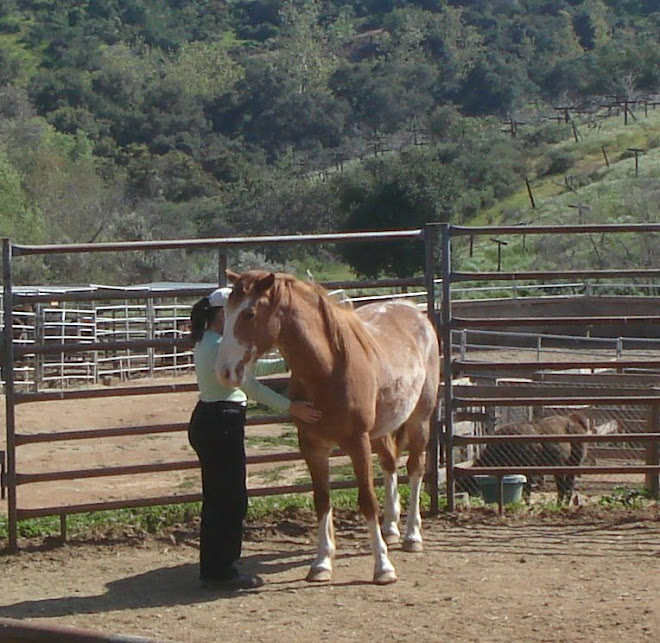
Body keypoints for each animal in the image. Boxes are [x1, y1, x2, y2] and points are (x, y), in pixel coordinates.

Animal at [217, 270, 440, 588]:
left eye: (248, 313)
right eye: (226, 312)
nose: (224, 371)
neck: (328, 367)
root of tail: (414, 312)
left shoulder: (358, 443)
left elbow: (367, 501)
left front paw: (383, 568)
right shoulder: (312, 445)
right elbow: (322, 500)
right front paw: (321, 563)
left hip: (420, 418)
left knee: (415, 468)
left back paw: (412, 535)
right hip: (381, 430)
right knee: (389, 465)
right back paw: (391, 529)